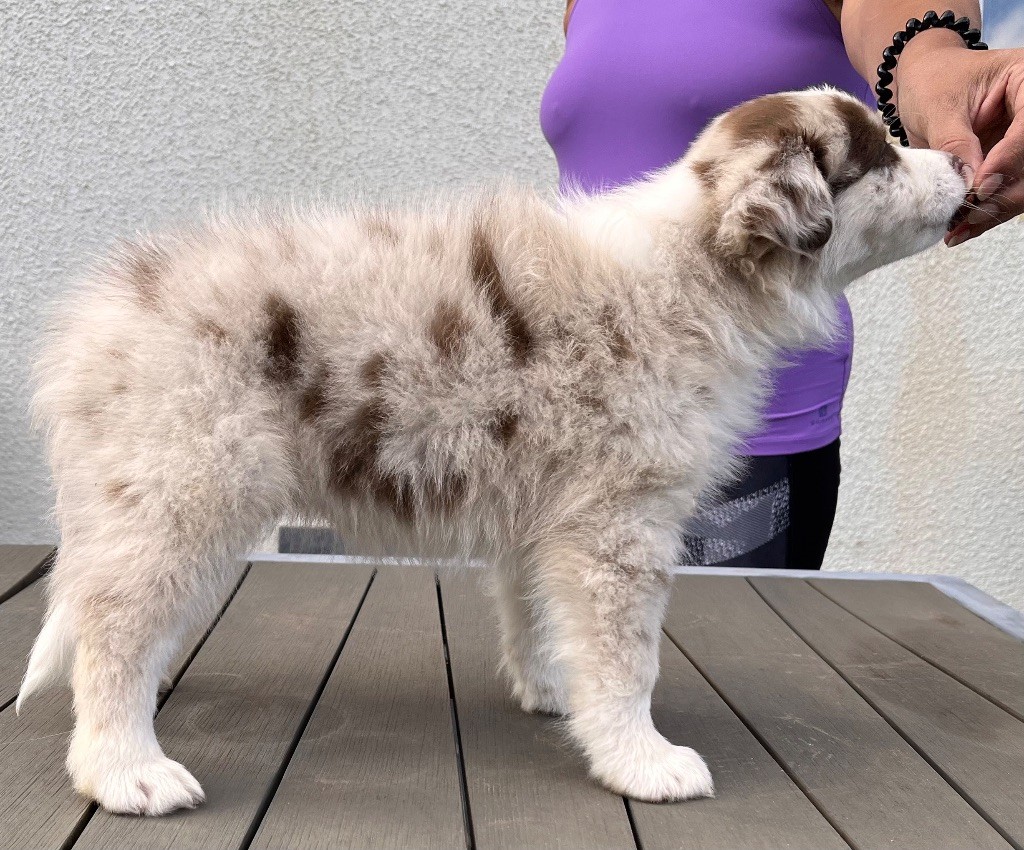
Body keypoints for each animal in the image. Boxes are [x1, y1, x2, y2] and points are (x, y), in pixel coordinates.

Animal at [19, 88, 966, 815]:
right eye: (879, 158)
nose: (961, 161)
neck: (700, 264)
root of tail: (87, 331)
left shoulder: (549, 511)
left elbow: (540, 615)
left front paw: (557, 695)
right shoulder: (620, 520)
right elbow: (630, 657)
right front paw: (641, 759)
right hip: (184, 482)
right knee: (115, 628)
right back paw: (126, 769)